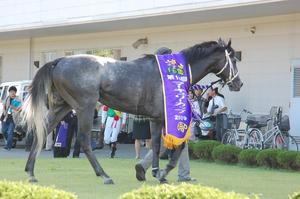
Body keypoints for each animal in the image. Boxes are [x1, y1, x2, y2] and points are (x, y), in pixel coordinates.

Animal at [20, 38, 241, 184]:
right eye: (233, 59)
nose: (239, 83)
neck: (171, 74)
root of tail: (59, 61)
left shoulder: (156, 118)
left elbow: (159, 145)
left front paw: (149, 171)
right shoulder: (164, 118)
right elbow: (176, 147)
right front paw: (161, 174)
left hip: (63, 105)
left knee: (42, 131)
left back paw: (30, 173)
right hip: (85, 106)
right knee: (83, 140)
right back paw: (104, 175)